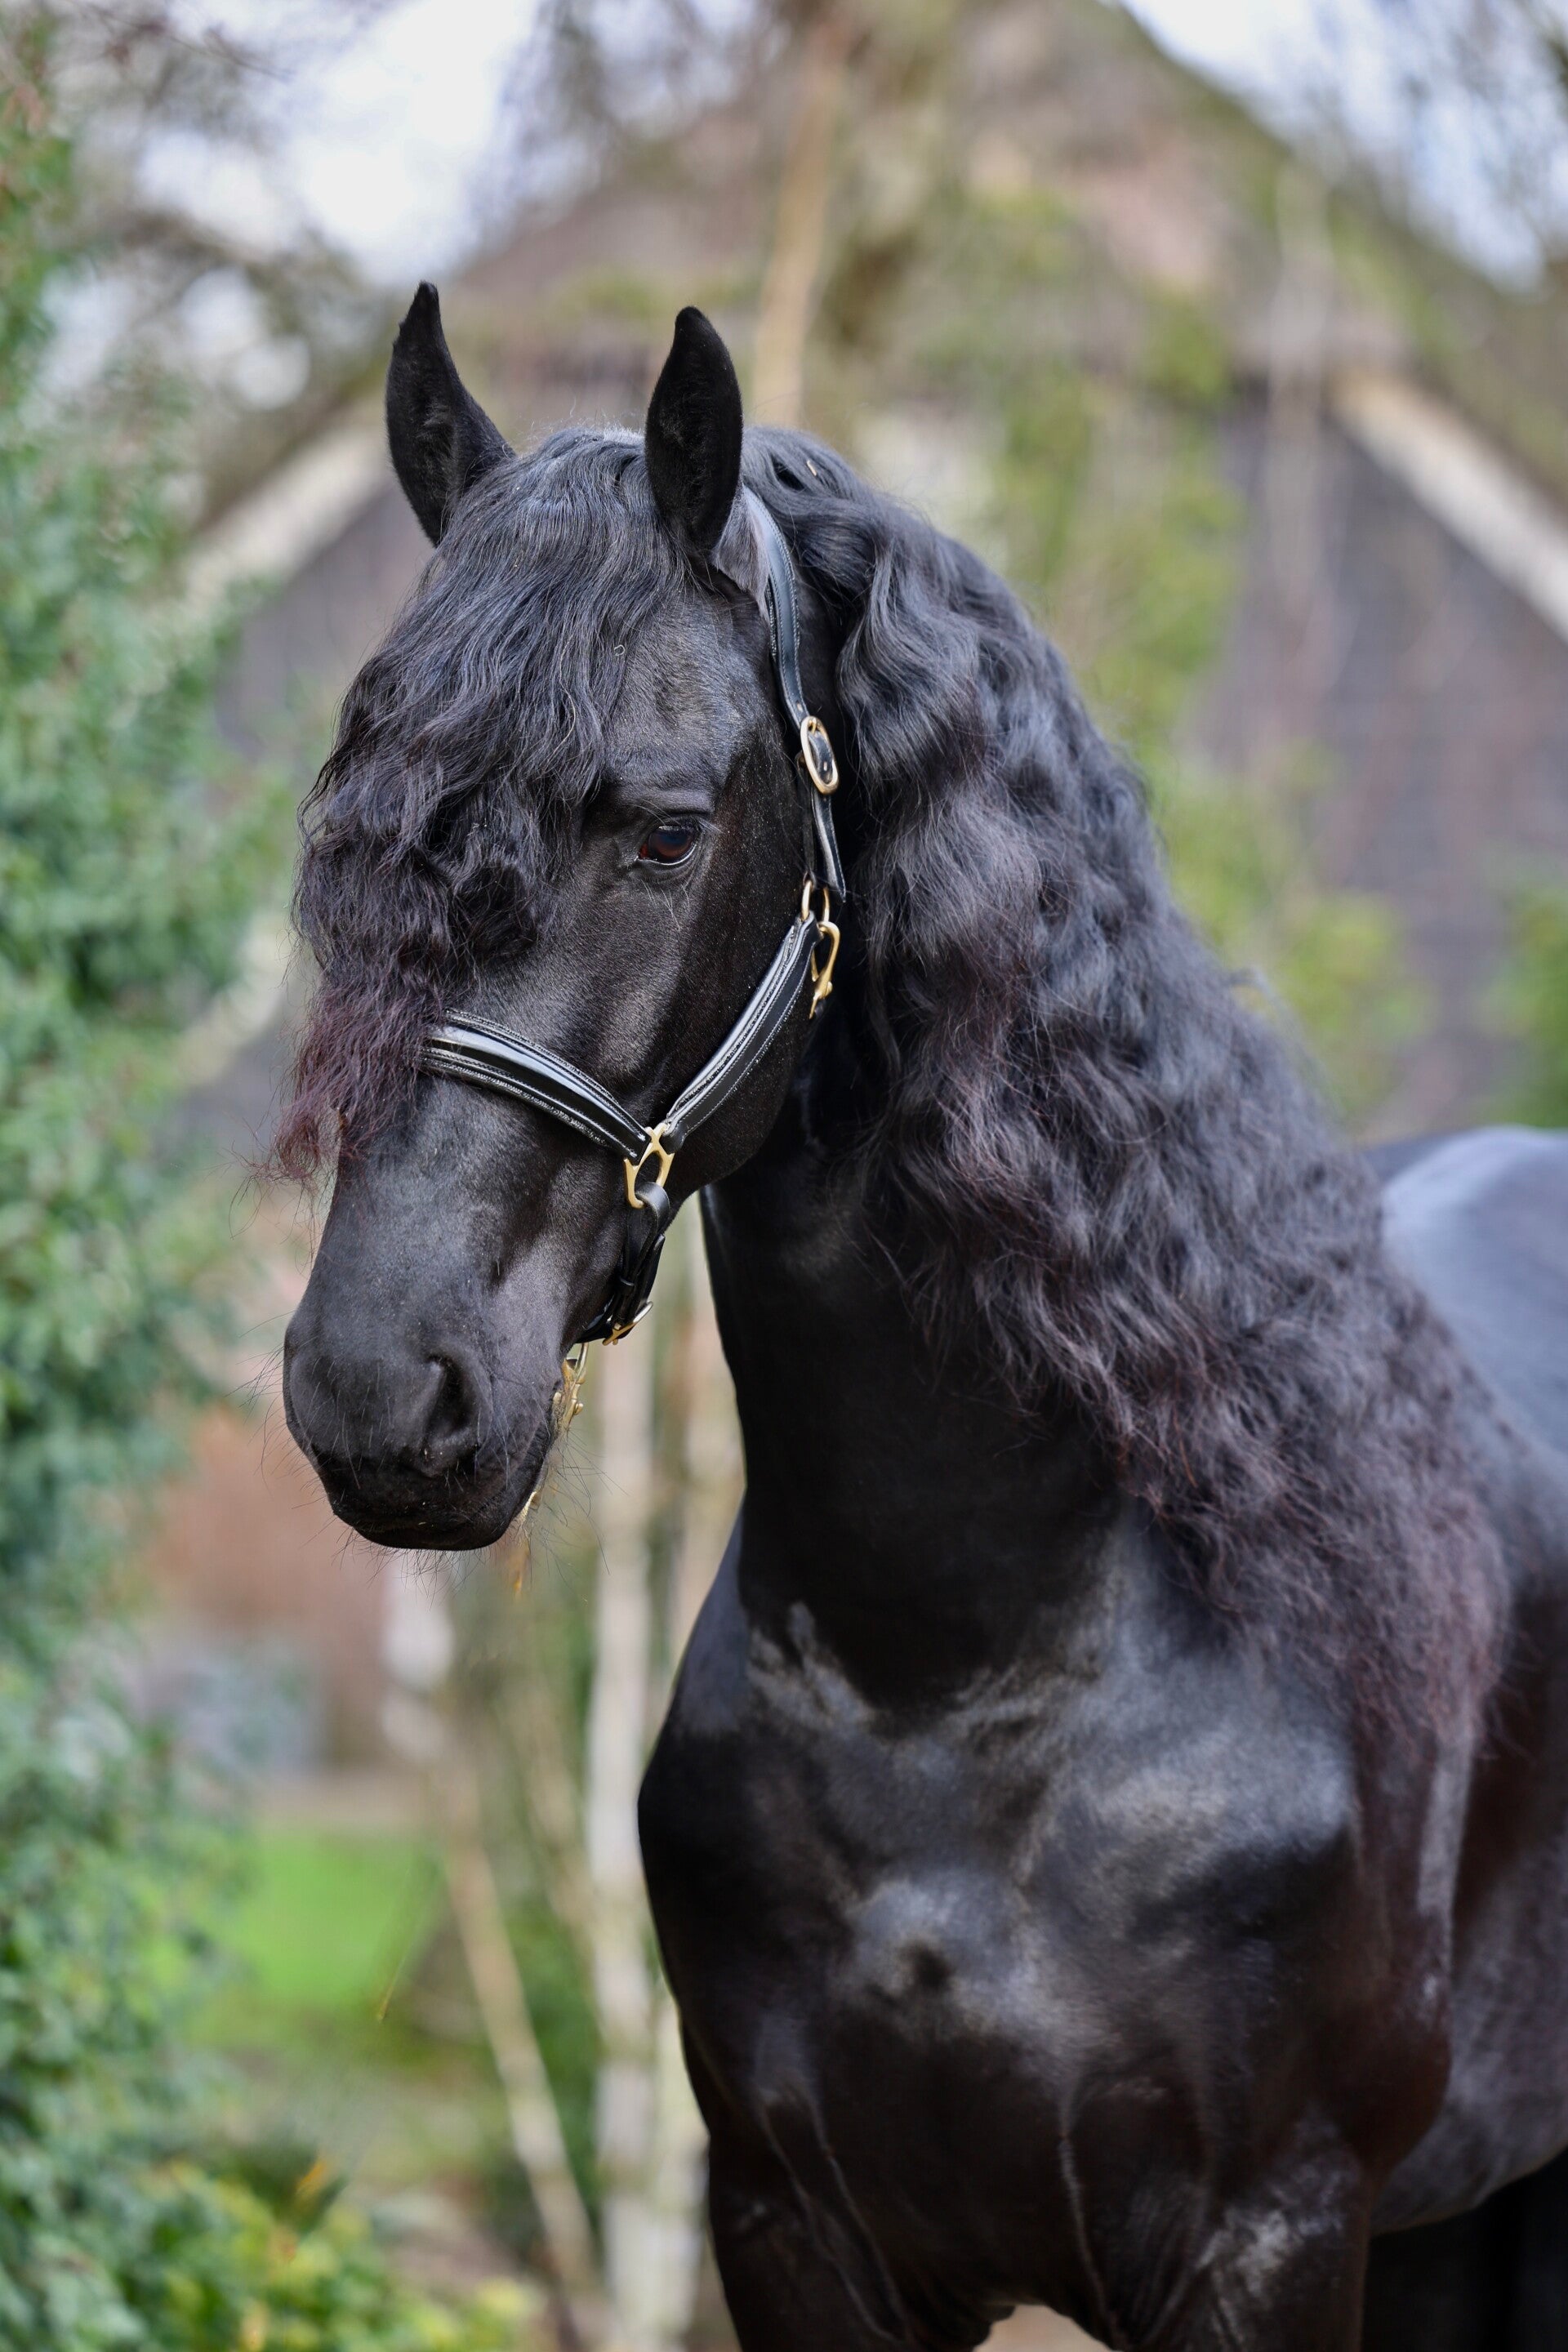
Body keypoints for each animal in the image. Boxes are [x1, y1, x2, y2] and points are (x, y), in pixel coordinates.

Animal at [279, 288, 1568, 2350]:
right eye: (358, 825)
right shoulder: (793, 2227)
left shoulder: (1269, 2241)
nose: (378, 1390)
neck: (975, 1667)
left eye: (662, 827)